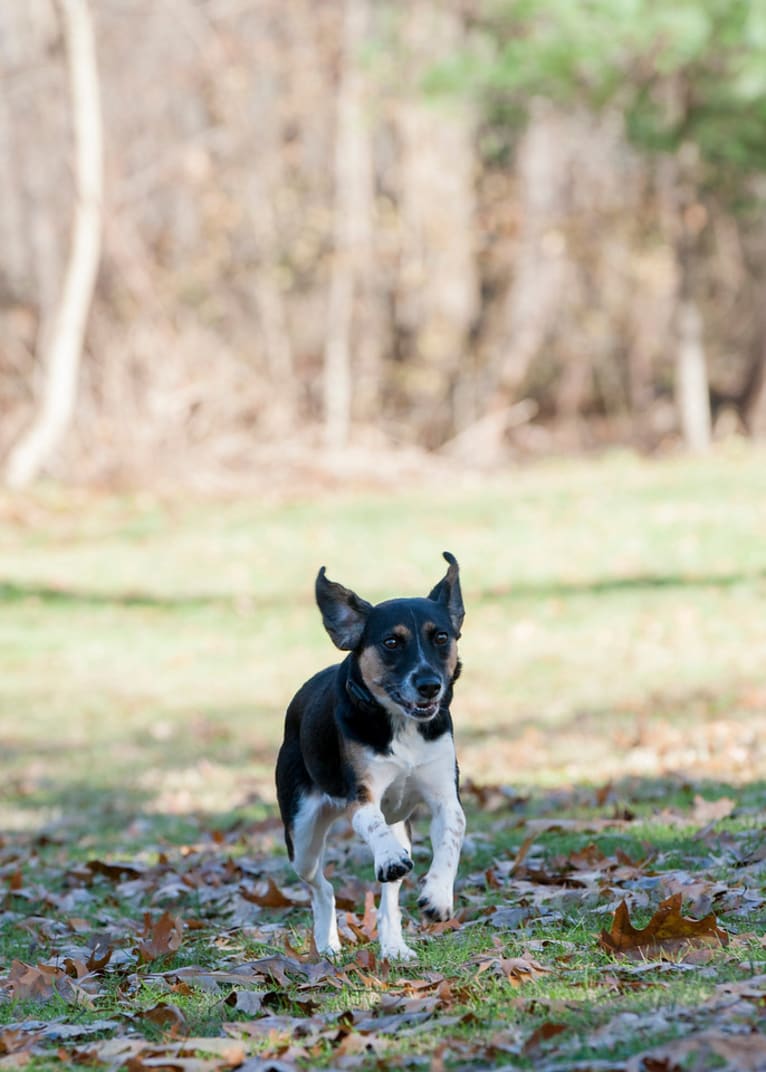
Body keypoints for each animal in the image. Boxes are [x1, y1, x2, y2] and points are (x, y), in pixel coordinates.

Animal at [276, 553, 467, 964]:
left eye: (441, 637)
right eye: (391, 642)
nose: (430, 685)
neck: (402, 724)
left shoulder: (444, 796)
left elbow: (451, 837)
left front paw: (438, 897)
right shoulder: (363, 795)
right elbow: (373, 825)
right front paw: (390, 857)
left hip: (400, 828)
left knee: (388, 898)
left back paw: (394, 946)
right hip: (301, 836)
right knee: (322, 888)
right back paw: (328, 944)